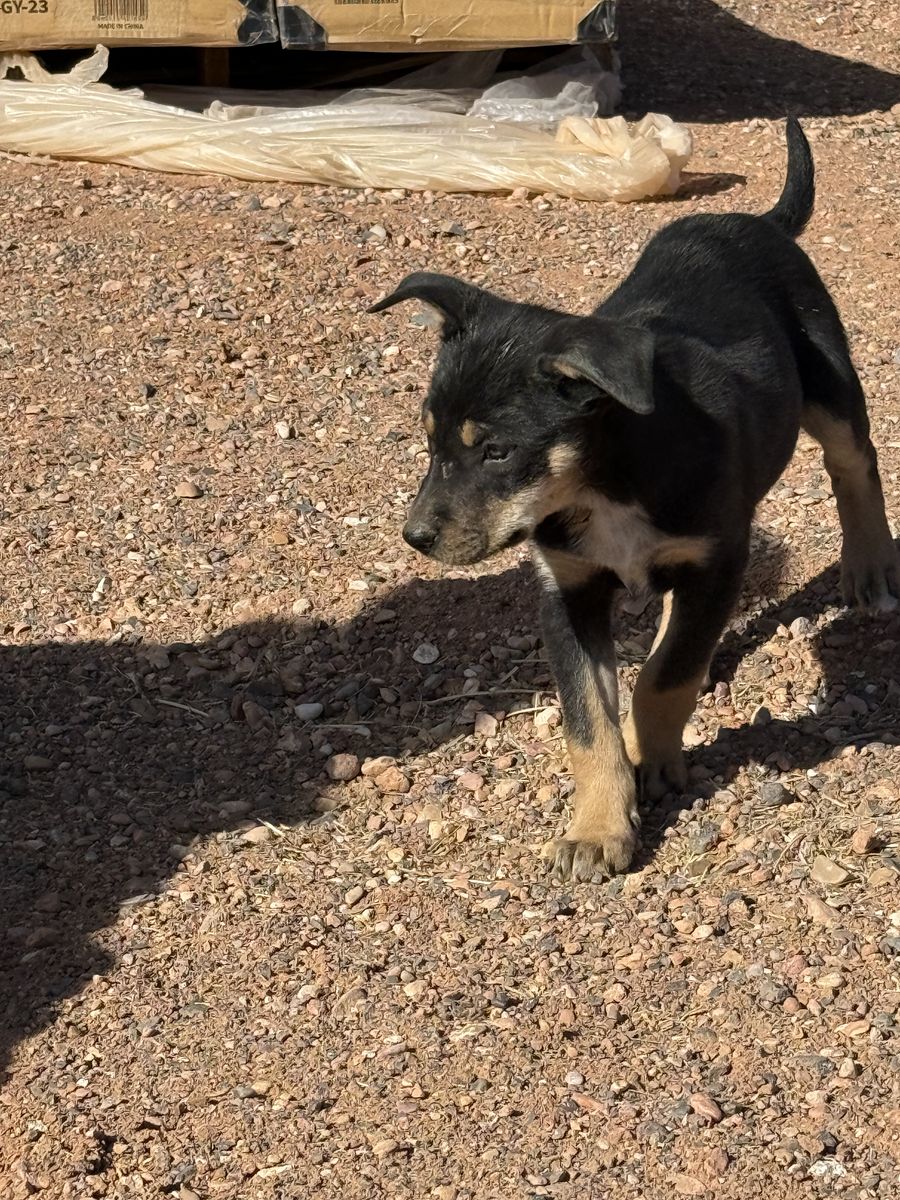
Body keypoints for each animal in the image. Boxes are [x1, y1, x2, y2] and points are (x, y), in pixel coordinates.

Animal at [371, 118, 899, 882]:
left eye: (496, 451)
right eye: (431, 440)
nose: (416, 537)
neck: (603, 480)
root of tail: (754, 221)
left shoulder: (716, 561)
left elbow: (662, 680)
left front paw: (656, 757)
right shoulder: (568, 591)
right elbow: (589, 722)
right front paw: (598, 827)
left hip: (829, 380)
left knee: (854, 463)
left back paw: (869, 563)